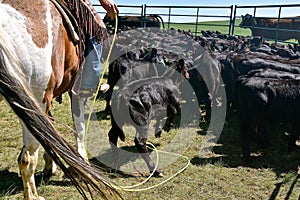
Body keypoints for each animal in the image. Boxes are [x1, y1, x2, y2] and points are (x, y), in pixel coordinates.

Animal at [0, 0, 118, 199]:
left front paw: (50, 165)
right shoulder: (75, 92)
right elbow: (79, 128)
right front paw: (83, 164)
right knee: (27, 157)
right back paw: (34, 196)